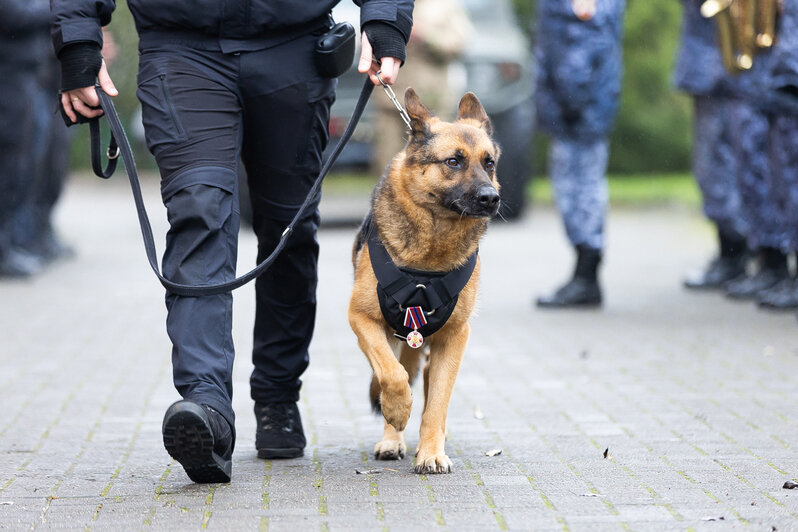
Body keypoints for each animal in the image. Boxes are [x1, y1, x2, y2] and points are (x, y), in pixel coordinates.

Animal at [348, 88, 500, 474]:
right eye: (453, 162)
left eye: (489, 163)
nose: (491, 199)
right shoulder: (362, 318)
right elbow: (392, 376)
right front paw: (398, 411)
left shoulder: (455, 337)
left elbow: (437, 406)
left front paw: (431, 452)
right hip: (387, 337)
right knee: (393, 371)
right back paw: (392, 437)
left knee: (431, 390)